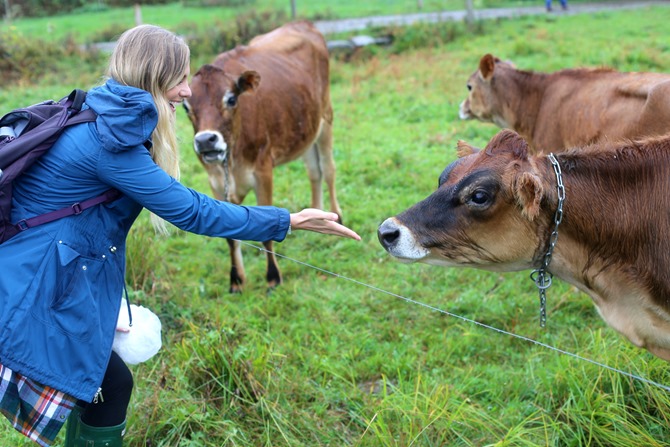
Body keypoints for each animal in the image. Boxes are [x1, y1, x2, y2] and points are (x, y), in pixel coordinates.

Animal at [184, 21, 342, 294]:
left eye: (231, 99)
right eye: (186, 107)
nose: (205, 141)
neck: (232, 161)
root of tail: (302, 23)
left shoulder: (263, 170)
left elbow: (267, 235)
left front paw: (273, 277)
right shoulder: (214, 182)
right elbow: (229, 236)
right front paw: (236, 280)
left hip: (326, 118)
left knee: (329, 169)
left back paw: (335, 215)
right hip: (306, 128)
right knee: (314, 171)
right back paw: (318, 216)